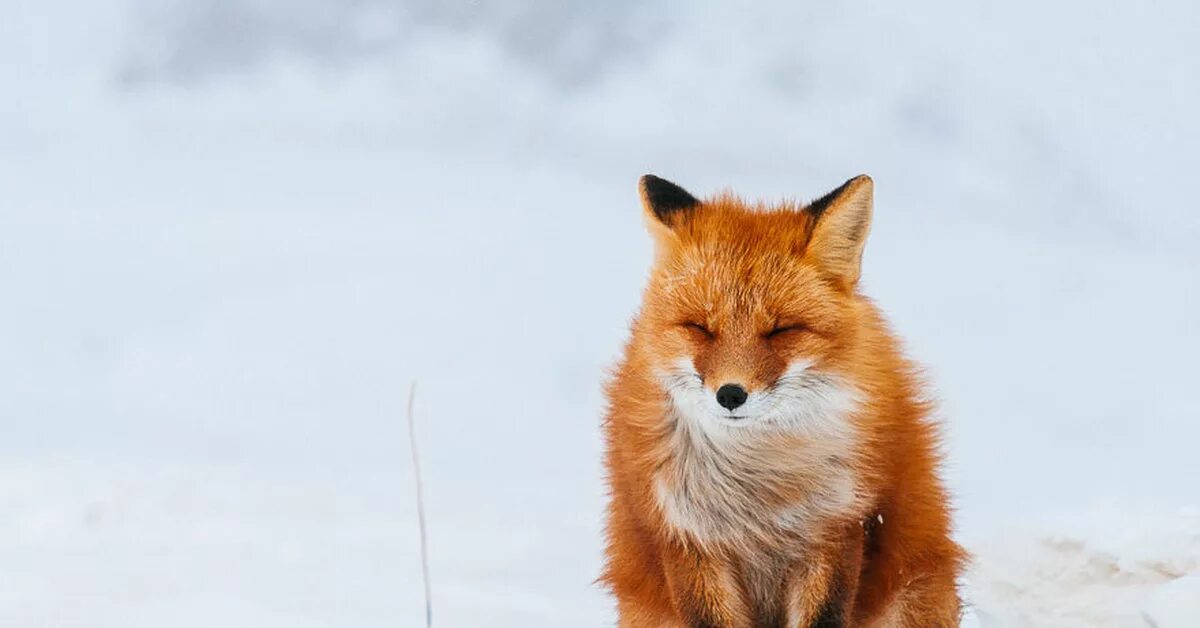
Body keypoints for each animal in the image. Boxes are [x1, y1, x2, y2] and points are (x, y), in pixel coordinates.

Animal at [600, 175, 964, 628]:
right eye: (700, 328)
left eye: (782, 330)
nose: (731, 394)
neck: (758, 486)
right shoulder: (687, 538)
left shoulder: (834, 531)